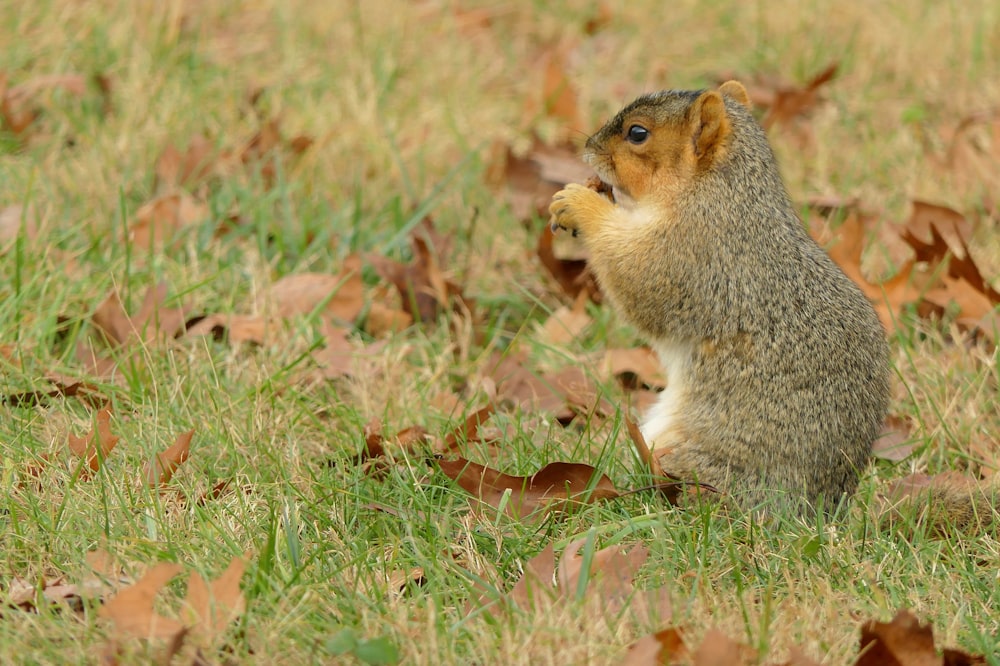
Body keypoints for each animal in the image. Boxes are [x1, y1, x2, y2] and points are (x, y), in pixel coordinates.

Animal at [552, 79, 896, 512]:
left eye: (637, 133)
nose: (588, 148)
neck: (722, 193)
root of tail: (820, 505)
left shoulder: (694, 253)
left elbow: (639, 279)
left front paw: (580, 204)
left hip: (701, 460)